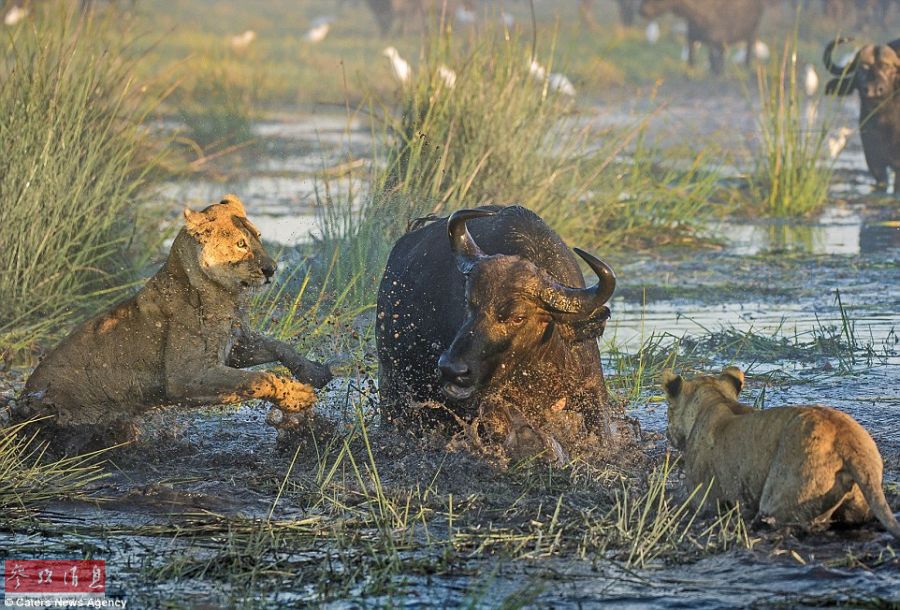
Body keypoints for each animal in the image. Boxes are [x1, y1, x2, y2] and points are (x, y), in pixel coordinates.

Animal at [17, 195, 332, 452]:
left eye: (259, 237)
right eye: (241, 244)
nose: (272, 269)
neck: (225, 297)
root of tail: (24, 400)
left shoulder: (235, 347)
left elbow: (279, 346)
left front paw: (314, 372)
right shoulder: (185, 377)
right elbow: (259, 379)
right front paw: (299, 397)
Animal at [376, 204, 624, 460]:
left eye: (518, 317)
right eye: (469, 302)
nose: (451, 369)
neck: (536, 365)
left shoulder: (592, 389)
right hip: (391, 382)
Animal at [636, 0, 764, 75]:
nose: (641, 10)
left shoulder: (716, 38)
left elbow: (713, 59)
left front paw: (716, 74)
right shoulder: (691, 36)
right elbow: (691, 59)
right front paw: (689, 75)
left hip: (754, 31)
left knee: (748, 51)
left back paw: (745, 68)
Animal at [660, 364, 900, 536]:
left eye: (669, 409)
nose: (668, 433)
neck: (715, 399)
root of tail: (849, 440)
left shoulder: (704, 499)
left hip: (781, 497)